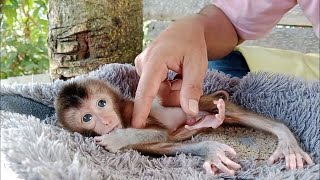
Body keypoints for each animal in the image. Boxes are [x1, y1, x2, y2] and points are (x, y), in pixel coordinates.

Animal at [55, 78, 312, 176]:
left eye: (102, 103)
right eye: (87, 118)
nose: (107, 122)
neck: (122, 117)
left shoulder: (132, 109)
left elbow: (157, 131)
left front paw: (117, 137)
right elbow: (164, 142)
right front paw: (210, 150)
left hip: (203, 100)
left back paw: (286, 139)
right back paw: (206, 123)